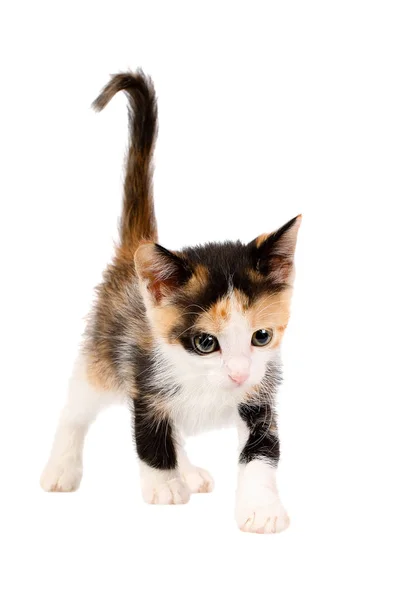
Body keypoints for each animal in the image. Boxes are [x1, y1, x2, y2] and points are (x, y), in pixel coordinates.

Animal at [40, 69, 300, 536]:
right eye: (205, 343)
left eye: (261, 336)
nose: (237, 374)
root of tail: (134, 252)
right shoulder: (142, 371)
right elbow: (149, 433)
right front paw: (164, 485)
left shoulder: (260, 393)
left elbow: (262, 450)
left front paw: (262, 509)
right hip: (102, 351)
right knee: (76, 405)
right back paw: (61, 468)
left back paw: (189, 470)